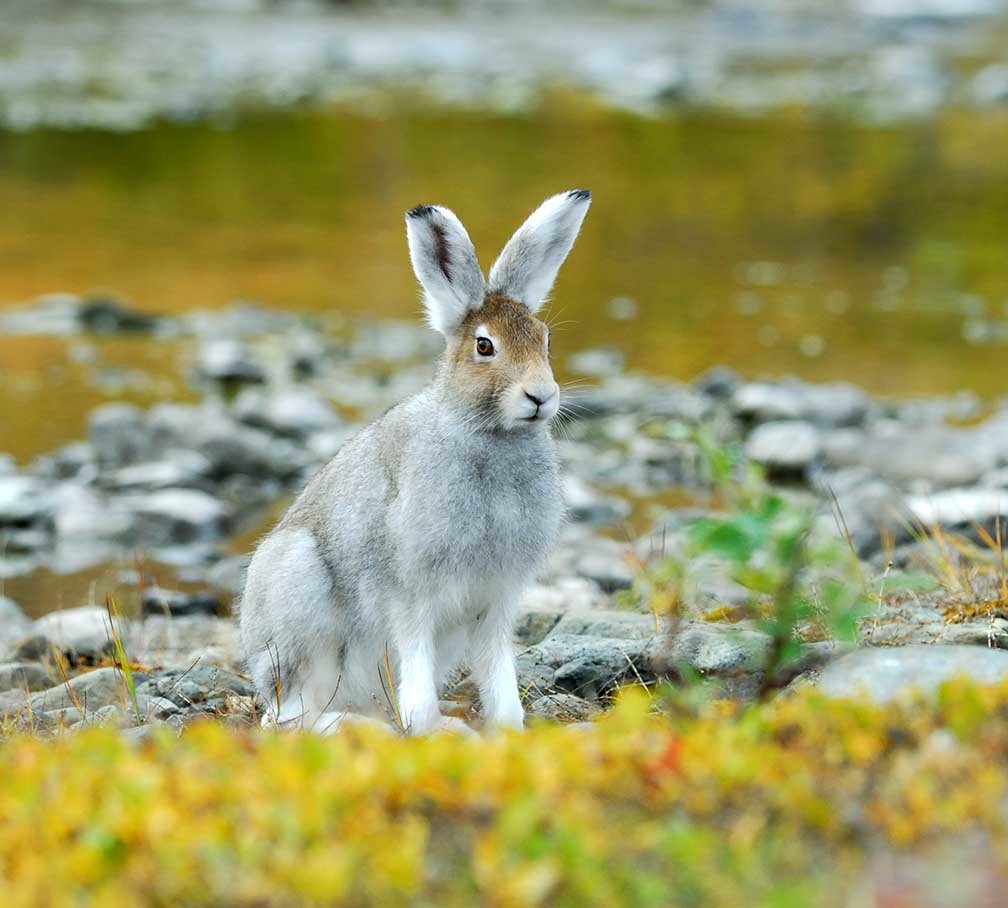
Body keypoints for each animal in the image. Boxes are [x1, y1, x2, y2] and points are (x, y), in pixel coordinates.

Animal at [239, 189, 591, 734]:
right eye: (484, 346)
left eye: (545, 339)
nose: (541, 396)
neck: (491, 435)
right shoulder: (412, 592)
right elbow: (417, 677)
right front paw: (426, 728)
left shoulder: (495, 599)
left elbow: (500, 681)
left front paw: (507, 730)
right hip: (299, 598)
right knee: (291, 715)